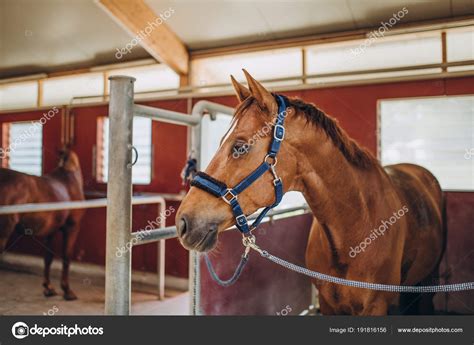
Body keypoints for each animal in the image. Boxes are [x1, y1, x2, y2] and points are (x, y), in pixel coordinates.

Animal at [0, 147, 84, 298]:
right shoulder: (72, 228)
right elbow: (66, 256)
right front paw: (67, 290)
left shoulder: (51, 231)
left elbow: (48, 258)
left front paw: (48, 288)